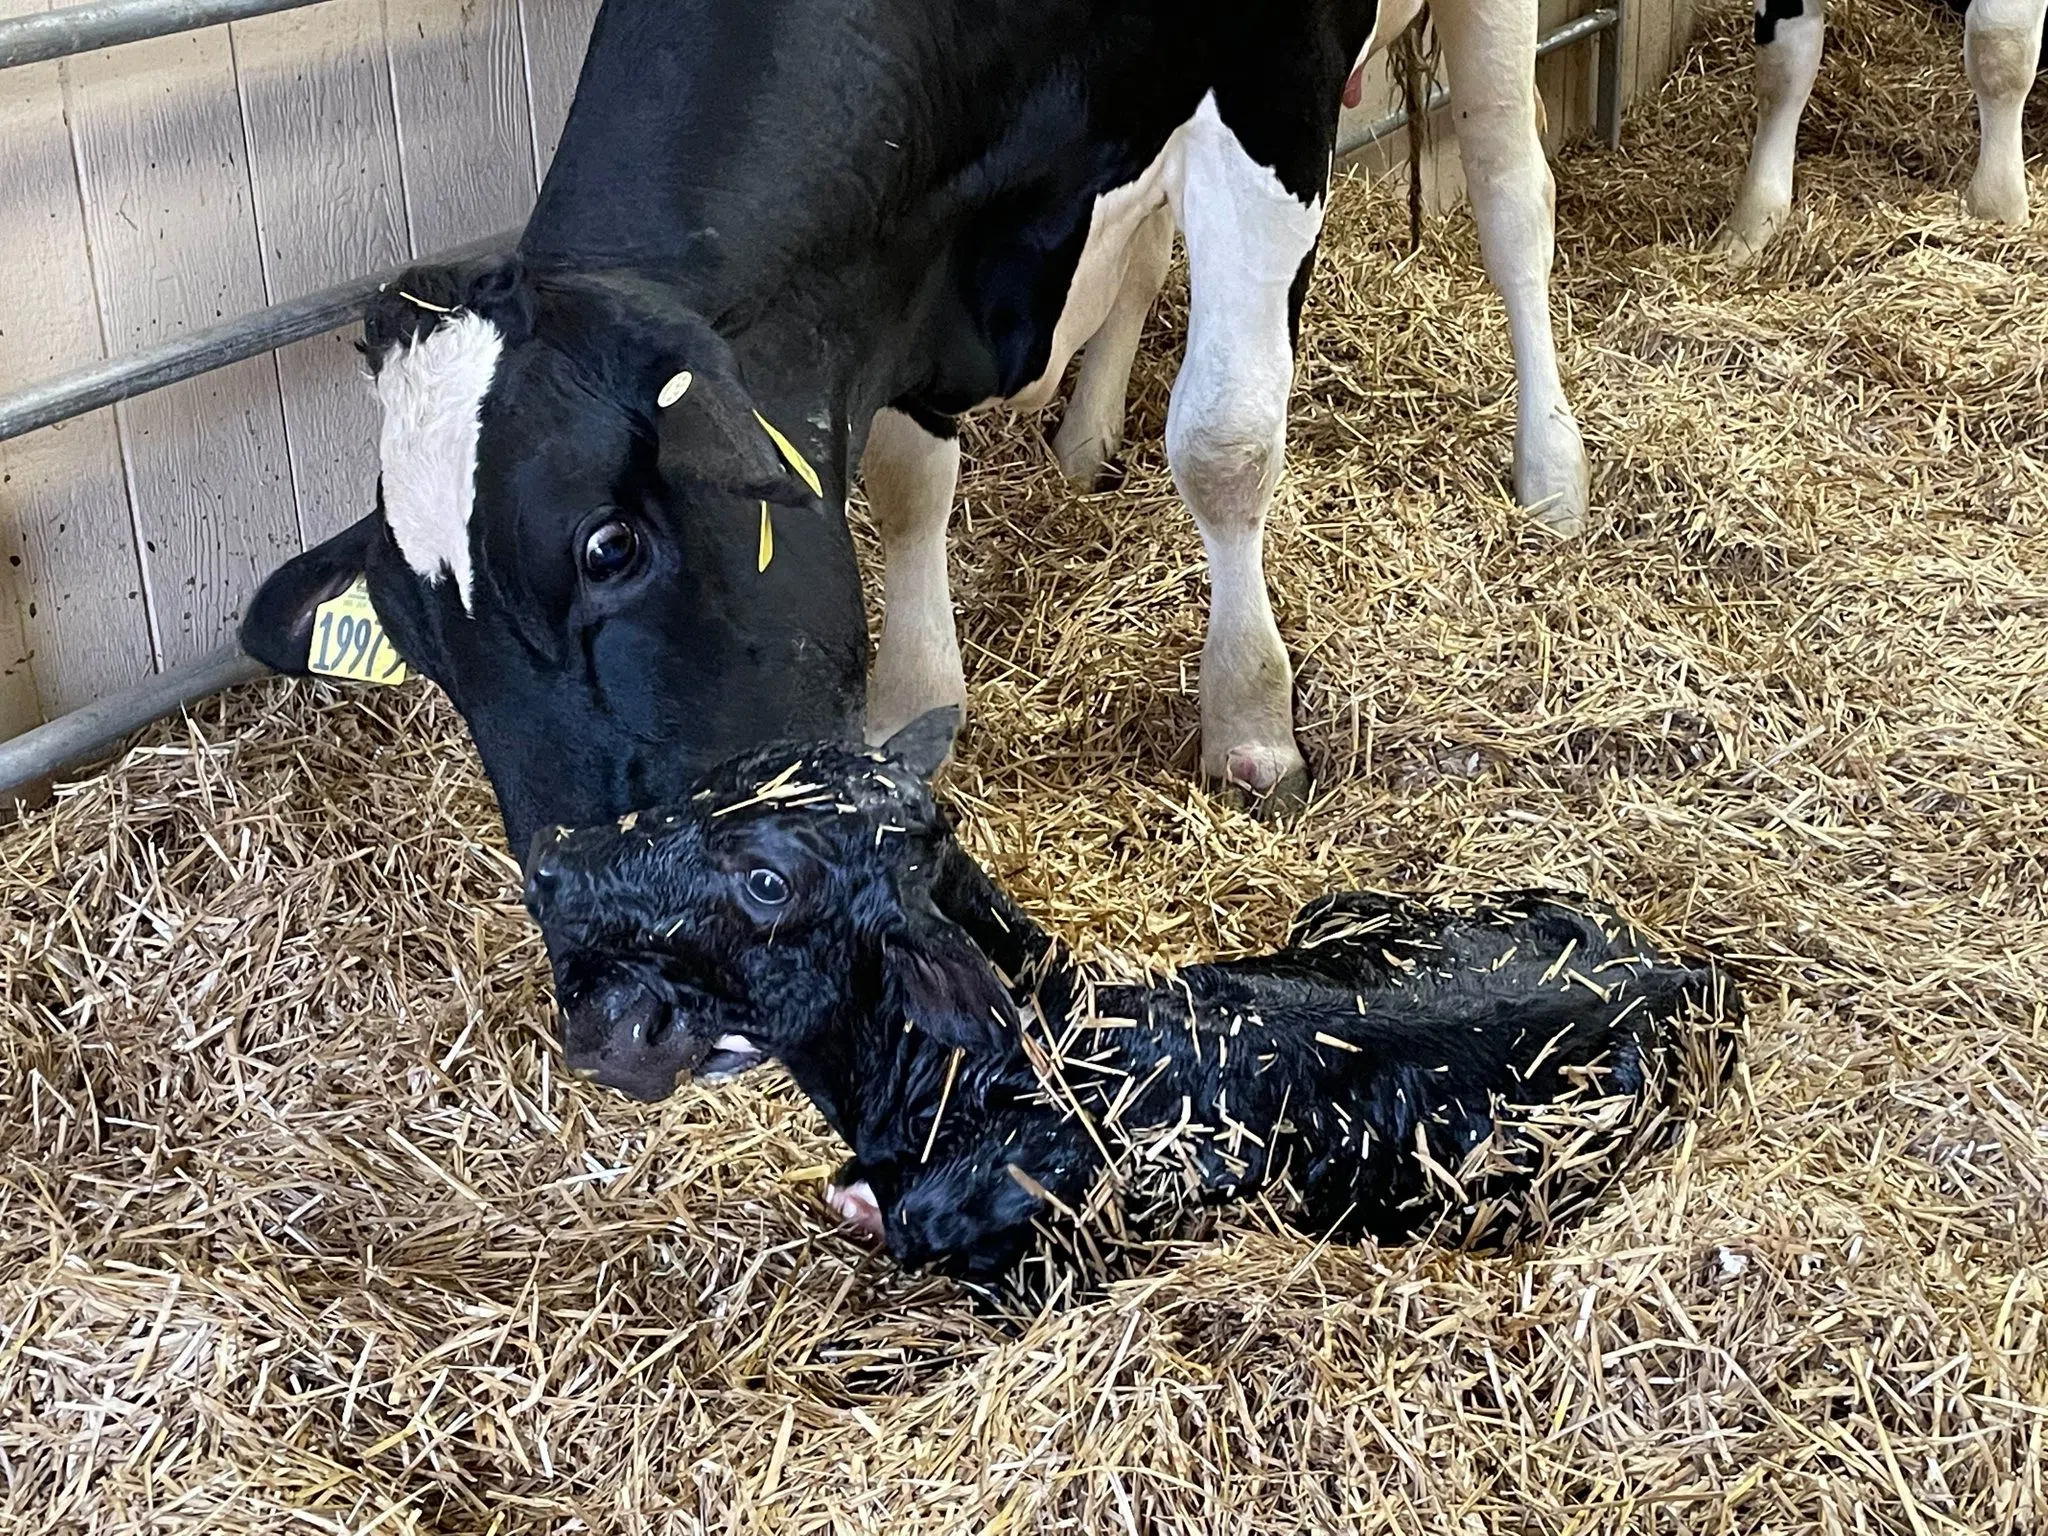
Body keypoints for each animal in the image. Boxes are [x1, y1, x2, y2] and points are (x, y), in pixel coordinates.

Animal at [235, 0, 1581, 868]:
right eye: (413, 635)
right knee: (1149, 253)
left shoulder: (1264, 91)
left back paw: (1551, 474)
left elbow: (1224, 441)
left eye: (607, 550)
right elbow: (904, 479)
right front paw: (914, 704)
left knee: (1512, 189)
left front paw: (1249, 722)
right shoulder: (897, 252)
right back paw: (1085, 440)